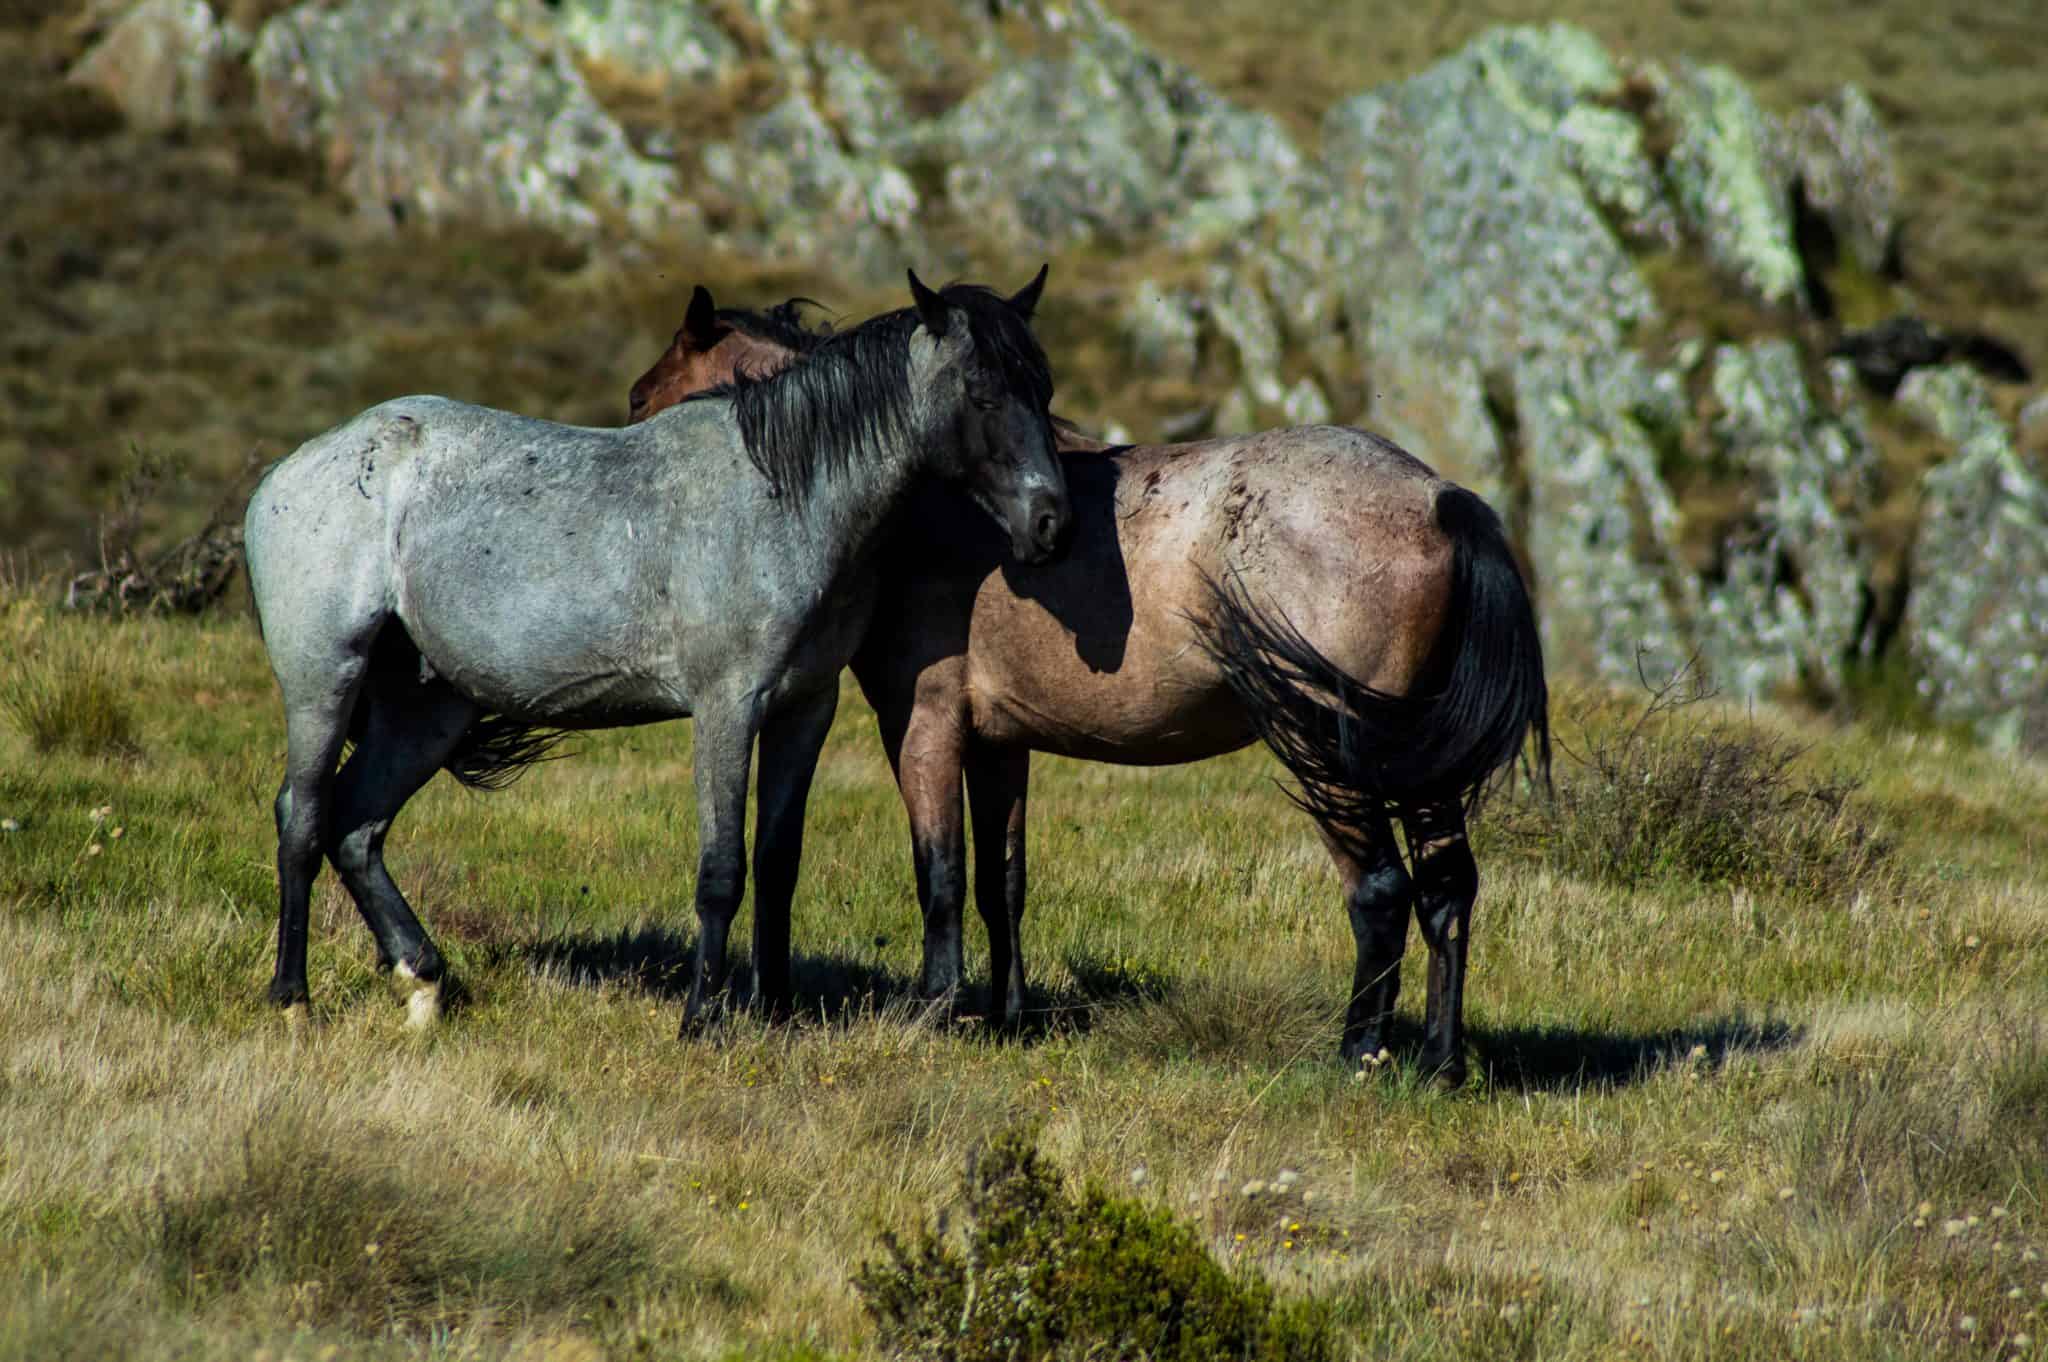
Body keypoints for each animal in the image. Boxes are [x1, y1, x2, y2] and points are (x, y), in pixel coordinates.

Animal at [244, 269, 1071, 1033]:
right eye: (981, 392)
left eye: (1043, 387)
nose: (1050, 522)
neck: (780, 496)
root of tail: (289, 473)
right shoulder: (727, 708)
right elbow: (722, 871)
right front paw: (702, 1018)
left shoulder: (805, 709)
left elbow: (778, 863)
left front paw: (773, 1009)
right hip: (325, 680)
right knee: (303, 819)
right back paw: (293, 1002)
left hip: (429, 708)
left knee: (357, 827)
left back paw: (422, 983)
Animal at [627, 290, 1550, 1086]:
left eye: (654, 397)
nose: (630, 414)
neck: (932, 501)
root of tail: (1439, 500)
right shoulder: (1000, 742)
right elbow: (1002, 882)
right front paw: (1006, 1016)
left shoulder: (923, 724)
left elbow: (940, 872)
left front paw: (934, 1010)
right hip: (1419, 765)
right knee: (1447, 890)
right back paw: (1440, 1062)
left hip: (1337, 758)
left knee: (1381, 892)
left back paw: (1359, 1051)